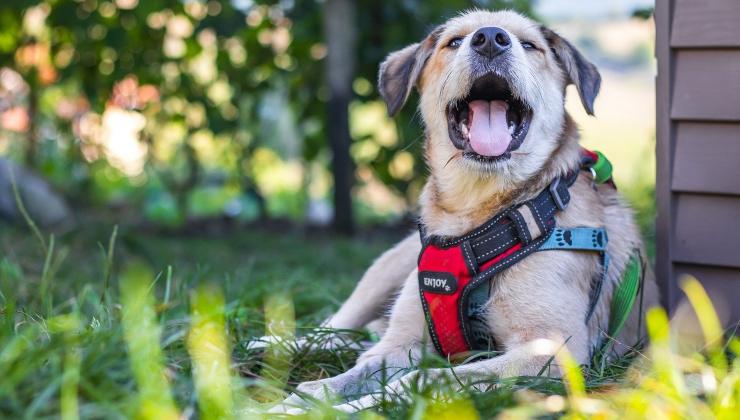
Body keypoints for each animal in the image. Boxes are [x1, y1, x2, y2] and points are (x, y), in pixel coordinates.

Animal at [272, 9, 660, 414]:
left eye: (530, 45)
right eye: (454, 42)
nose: (490, 39)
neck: (477, 210)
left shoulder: (553, 351)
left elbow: (427, 378)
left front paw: (357, 406)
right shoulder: (401, 343)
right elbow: (346, 377)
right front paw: (298, 401)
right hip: (386, 269)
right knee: (337, 328)